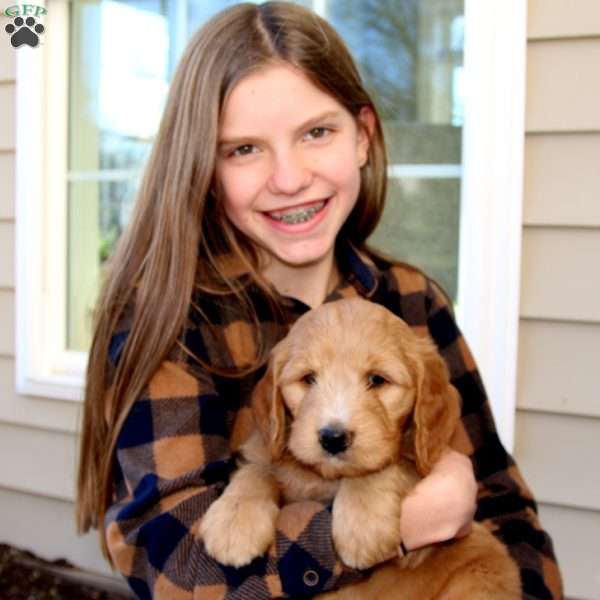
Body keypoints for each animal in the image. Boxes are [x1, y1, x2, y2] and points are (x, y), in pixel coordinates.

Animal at [200, 298, 520, 596]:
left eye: (377, 380)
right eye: (308, 378)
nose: (332, 437)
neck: (326, 478)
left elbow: (388, 464)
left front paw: (363, 528)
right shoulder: (269, 446)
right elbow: (257, 470)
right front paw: (233, 520)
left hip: (484, 560)